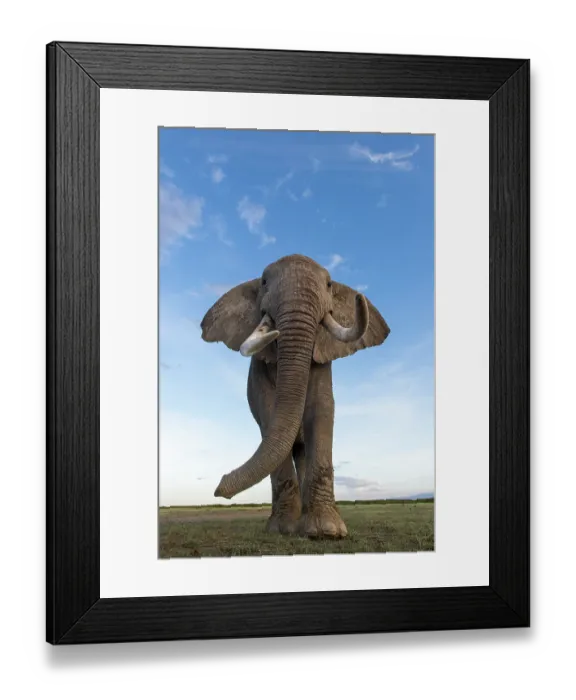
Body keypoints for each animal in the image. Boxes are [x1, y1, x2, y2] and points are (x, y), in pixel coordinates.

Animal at [200, 253, 390, 539]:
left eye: (329, 284)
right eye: (264, 282)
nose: (220, 486)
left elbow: (322, 410)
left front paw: (327, 531)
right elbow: (269, 414)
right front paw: (283, 529)